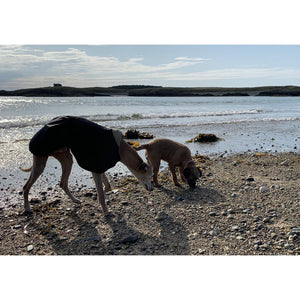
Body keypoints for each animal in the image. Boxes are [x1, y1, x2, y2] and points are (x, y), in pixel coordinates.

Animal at [20, 115, 152, 216]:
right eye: (150, 176)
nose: (152, 189)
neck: (120, 148)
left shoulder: (99, 168)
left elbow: (107, 187)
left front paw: (97, 196)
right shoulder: (97, 168)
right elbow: (102, 194)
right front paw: (106, 211)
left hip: (66, 158)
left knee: (63, 183)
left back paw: (75, 200)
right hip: (40, 160)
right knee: (26, 187)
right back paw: (27, 208)